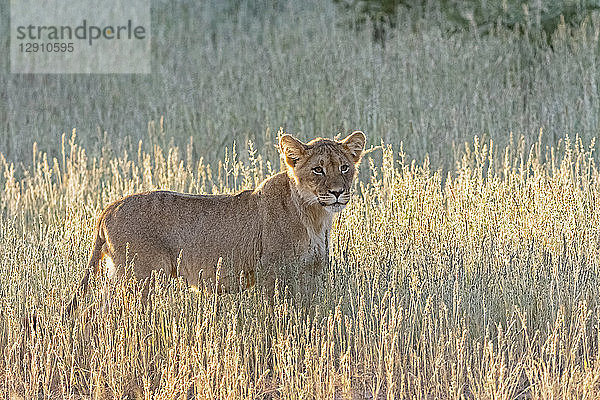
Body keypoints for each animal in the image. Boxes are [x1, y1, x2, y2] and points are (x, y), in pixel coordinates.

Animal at [67, 131, 366, 312]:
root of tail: (108, 208)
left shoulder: (311, 274)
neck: (315, 216)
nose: (338, 192)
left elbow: (309, 313)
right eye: (318, 170)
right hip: (143, 277)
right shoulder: (272, 272)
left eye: (344, 167)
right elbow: (277, 315)